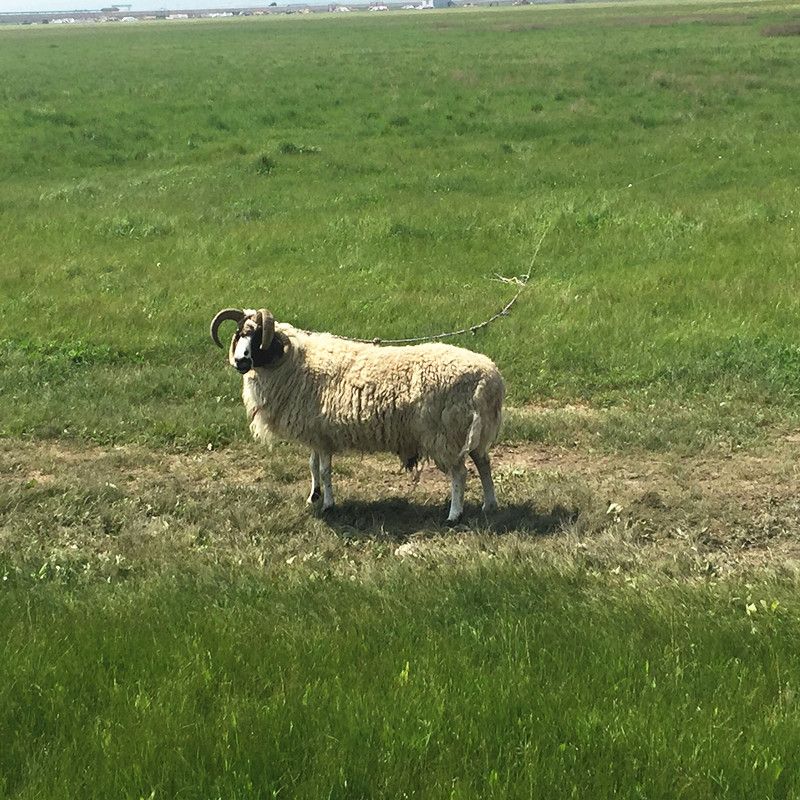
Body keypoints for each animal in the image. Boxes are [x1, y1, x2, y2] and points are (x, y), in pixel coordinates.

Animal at [209, 308, 504, 524]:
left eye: (258, 336)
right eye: (239, 333)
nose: (241, 361)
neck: (293, 362)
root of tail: (491, 378)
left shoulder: (322, 434)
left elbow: (325, 470)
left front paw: (328, 504)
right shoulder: (317, 433)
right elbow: (313, 466)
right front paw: (313, 496)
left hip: (446, 433)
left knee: (460, 473)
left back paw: (454, 514)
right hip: (471, 432)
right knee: (484, 463)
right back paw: (489, 505)